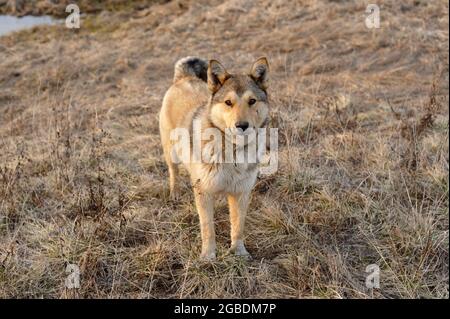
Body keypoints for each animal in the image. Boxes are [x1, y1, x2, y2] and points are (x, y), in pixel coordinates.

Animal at [159, 55, 268, 260]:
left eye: (252, 101)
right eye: (228, 102)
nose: (242, 126)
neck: (233, 152)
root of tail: (184, 78)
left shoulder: (241, 193)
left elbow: (238, 227)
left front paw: (239, 252)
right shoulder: (203, 192)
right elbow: (208, 228)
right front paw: (208, 256)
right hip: (171, 153)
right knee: (173, 172)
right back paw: (175, 193)